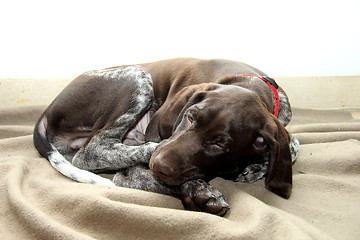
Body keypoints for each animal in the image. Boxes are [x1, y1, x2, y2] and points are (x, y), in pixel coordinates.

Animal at [33, 57, 300, 216]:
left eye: (220, 145)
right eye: (190, 117)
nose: (159, 165)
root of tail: (49, 109)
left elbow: (293, 145)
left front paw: (256, 166)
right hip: (138, 76)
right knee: (91, 153)